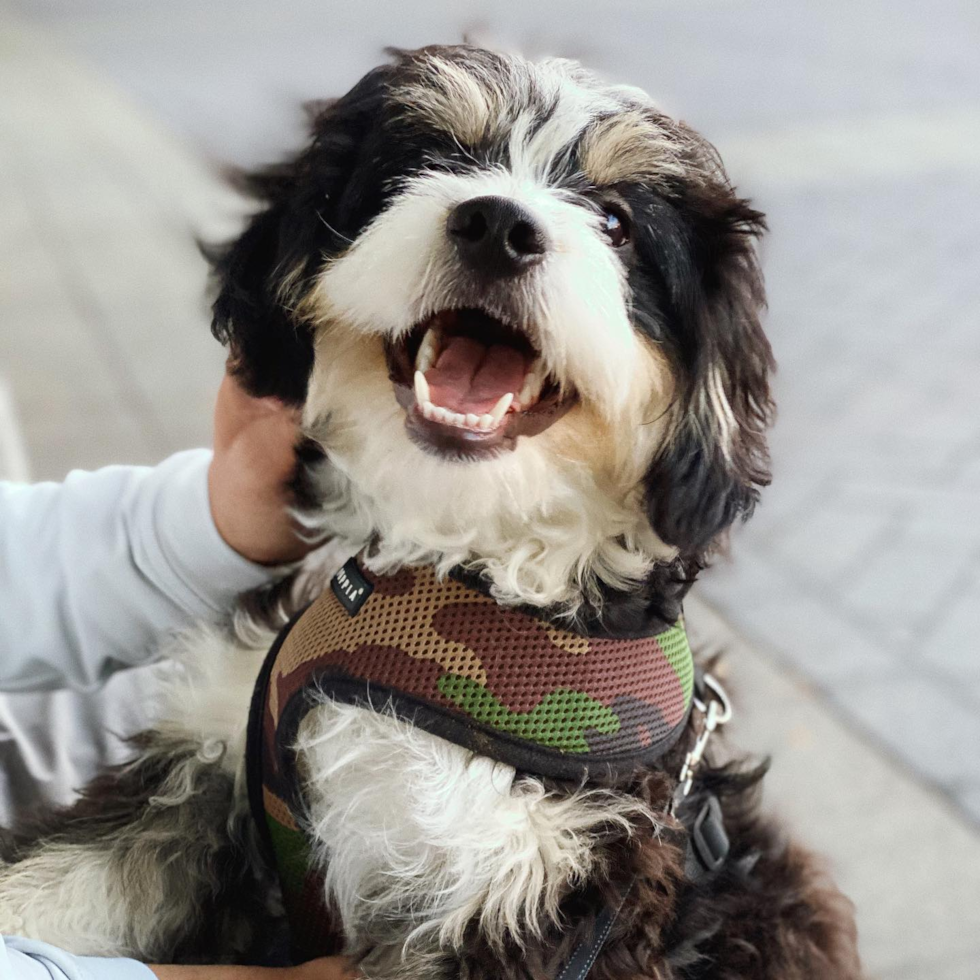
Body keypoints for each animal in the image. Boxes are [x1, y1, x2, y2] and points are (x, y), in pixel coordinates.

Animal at [0, 44, 860, 980]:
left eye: (616, 223)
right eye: (429, 160)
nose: (499, 226)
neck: (448, 559)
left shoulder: (545, 884)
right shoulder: (204, 760)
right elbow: (58, 877)